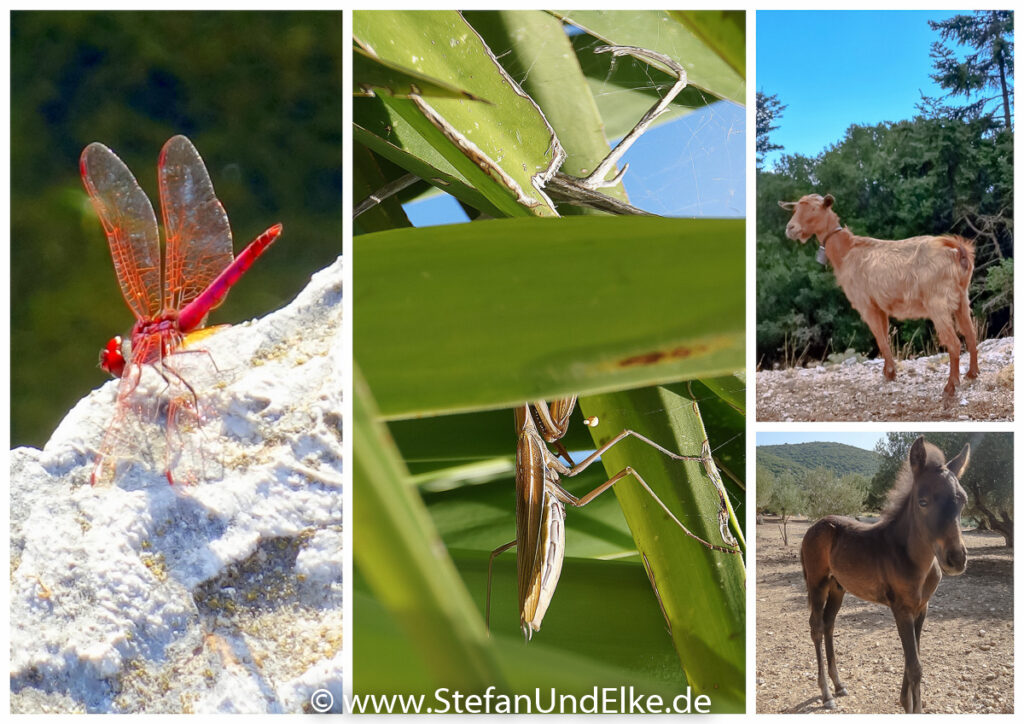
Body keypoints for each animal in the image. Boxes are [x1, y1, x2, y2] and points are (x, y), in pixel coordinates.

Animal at [778, 192, 978, 399]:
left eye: (814, 209)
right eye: (795, 209)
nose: (791, 228)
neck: (847, 251)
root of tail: (956, 248)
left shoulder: (866, 304)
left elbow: (880, 338)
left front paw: (889, 373)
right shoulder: (881, 306)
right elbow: (884, 337)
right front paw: (889, 372)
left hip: (937, 301)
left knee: (954, 343)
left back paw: (950, 386)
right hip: (962, 298)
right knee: (971, 334)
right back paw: (972, 374)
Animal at [798, 436, 966, 712]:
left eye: (962, 500)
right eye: (923, 501)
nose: (957, 558)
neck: (913, 559)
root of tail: (815, 525)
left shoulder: (922, 608)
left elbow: (913, 658)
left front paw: (905, 702)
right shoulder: (901, 609)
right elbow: (915, 666)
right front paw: (913, 708)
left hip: (837, 587)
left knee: (829, 623)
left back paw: (839, 685)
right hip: (817, 583)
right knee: (816, 627)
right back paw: (826, 694)